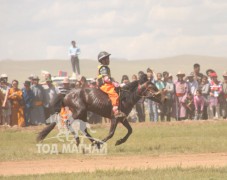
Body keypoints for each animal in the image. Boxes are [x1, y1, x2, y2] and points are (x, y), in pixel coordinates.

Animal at [37, 74, 165, 146]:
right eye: (151, 87)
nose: (164, 97)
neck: (125, 97)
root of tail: (66, 94)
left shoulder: (122, 118)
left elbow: (130, 130)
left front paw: (120, 141)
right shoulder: (114, 118)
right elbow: (111, 133)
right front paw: (101, 143)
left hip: (83, 114)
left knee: (83, 129)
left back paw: (92, 142)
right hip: (78, 112)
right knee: (69, 123)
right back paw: (80, 140)